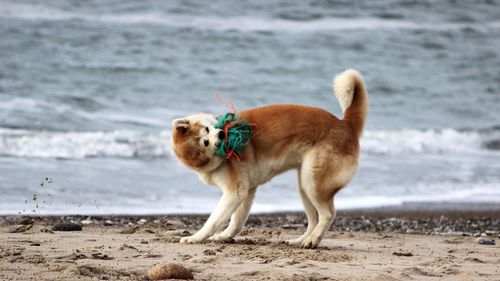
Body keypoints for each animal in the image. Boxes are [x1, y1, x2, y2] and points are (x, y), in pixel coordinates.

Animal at [172, 69, 368, 247]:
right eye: (205, 143)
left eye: (207, 129)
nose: (221, 135)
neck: (221, 156)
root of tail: (345, 124)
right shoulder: (245, 191)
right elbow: (236, 221)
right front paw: (224, 236)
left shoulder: (234, 192)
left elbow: (212, 220)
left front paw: (196, 237)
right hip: (304, 185)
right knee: (314, 220)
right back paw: (300, 240)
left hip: (312, 182)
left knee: (328, 214)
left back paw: (312, 240)